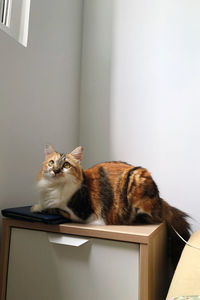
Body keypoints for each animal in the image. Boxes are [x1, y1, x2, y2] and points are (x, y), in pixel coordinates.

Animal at [31, 144, 191, 268]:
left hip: (134, 180)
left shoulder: (80, 212)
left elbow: (54, 208)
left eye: (66, 165)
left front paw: (36, 208)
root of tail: (160, 199)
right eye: (51, 163)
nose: (55, 170)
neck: (54, 188)